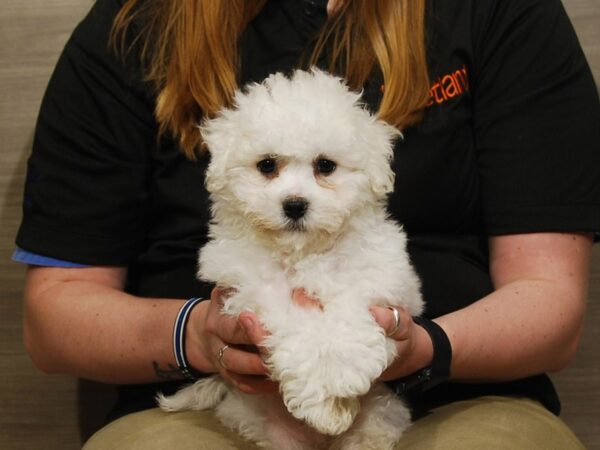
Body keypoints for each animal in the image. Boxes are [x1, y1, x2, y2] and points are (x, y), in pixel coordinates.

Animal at [157, 67, 424, 450]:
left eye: (325, 166)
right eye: (267, 165)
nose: (295, 204)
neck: (303, 251)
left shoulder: (379, 274)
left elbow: (349, 309)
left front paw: (340, 369)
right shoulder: (253, 289)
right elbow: (295, 324)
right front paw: (324, 402)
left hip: (382, 413)